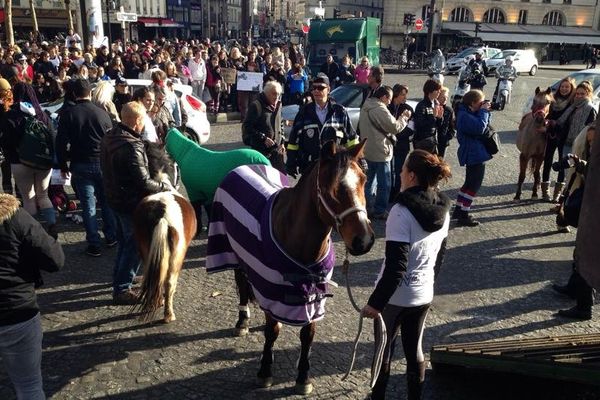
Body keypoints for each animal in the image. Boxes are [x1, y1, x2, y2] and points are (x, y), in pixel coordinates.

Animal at [206, 141, 376, 394]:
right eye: (332, 187)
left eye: (363, 179)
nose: (363, 240)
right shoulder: (271, 285)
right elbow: (272, 331)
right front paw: (265, 371)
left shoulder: (316, 292)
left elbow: (308, 334)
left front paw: (303, 376)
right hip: (233, 251)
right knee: (242, 284)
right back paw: (242, 321)